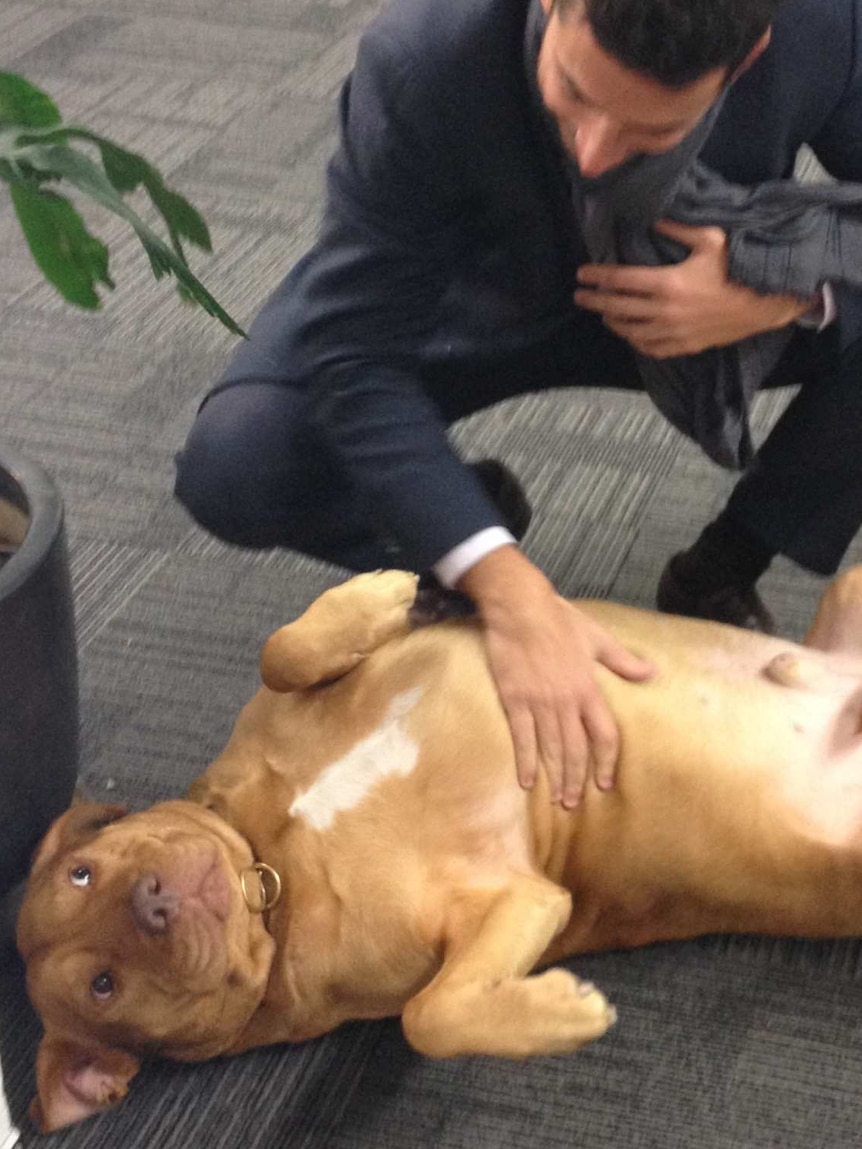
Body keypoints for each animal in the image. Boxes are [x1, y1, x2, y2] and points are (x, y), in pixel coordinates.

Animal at [18, 569, 862, 1126]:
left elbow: (281, 650)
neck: (275, 867)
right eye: (102, 984)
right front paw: (560, 1014)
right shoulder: (515, 899)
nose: (152, 900)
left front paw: (382, 593)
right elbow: (434, 1016)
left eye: (83, 870)